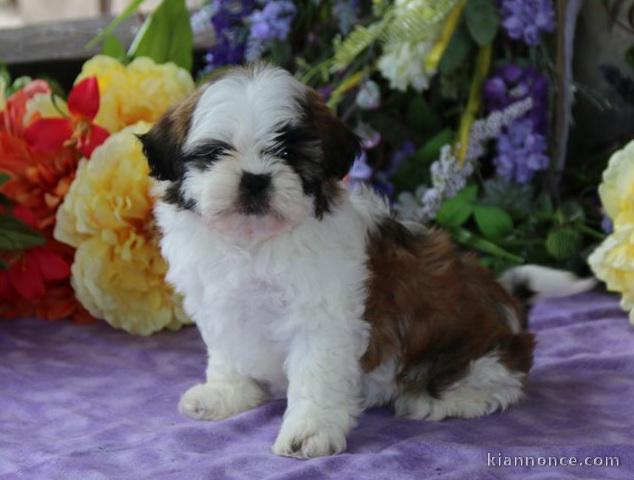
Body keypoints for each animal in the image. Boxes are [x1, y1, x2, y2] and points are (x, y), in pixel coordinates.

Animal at [141, 62, 596, 458]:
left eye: (288, 154)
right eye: (216, 152)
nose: (254, 179)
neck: (254, 243)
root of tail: (512, 310)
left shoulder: (322, 322)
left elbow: (314, 377)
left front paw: (308, 432)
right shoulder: (218, 304)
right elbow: (227, 354)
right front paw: (227, 393)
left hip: (474, 352)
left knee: (504, 379)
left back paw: (445, 398)